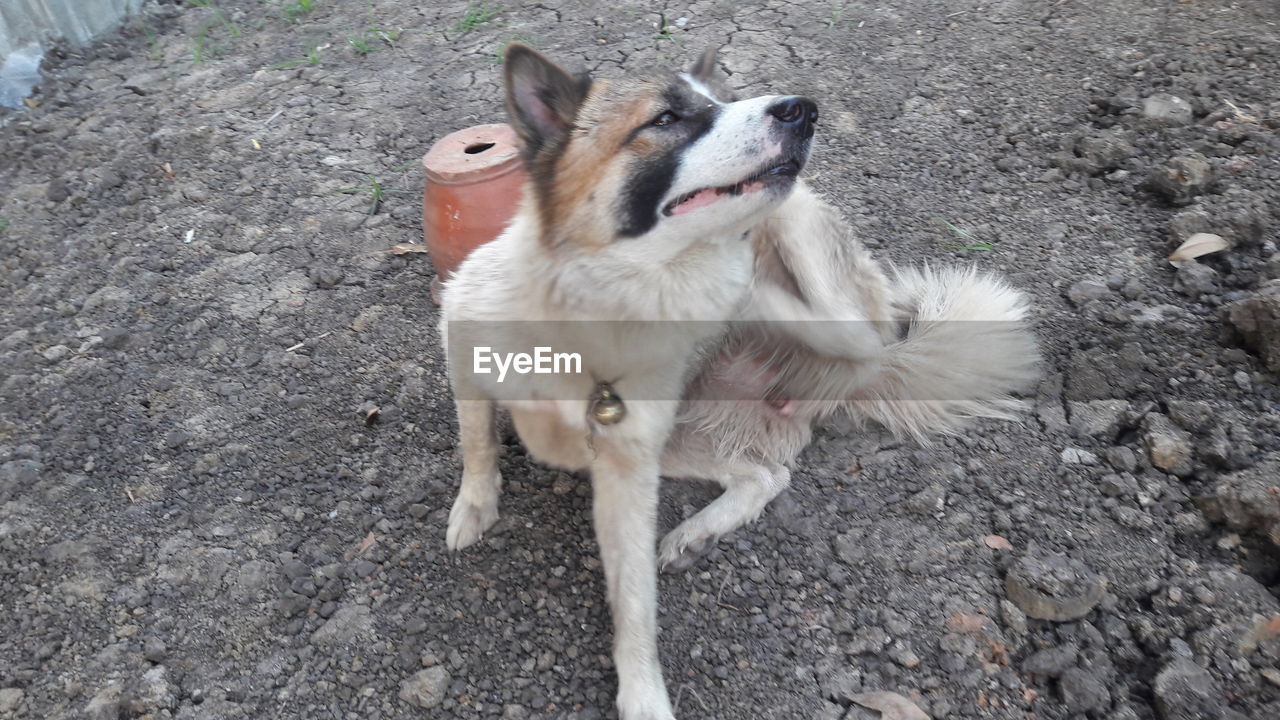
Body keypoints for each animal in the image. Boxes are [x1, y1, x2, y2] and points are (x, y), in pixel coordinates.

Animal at [440, 46, 1039, 717]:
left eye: (721, 100)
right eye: (667, 117)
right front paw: (475, 507)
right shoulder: (464, 345)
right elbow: (477, 443)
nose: (802, 109)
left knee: (848, 345)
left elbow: (634, 603)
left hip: (797, 226)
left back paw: (752, 298)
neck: (604, 309)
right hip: (683, 433)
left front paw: (643, 695)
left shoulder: (626, 473)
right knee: (764, 472)